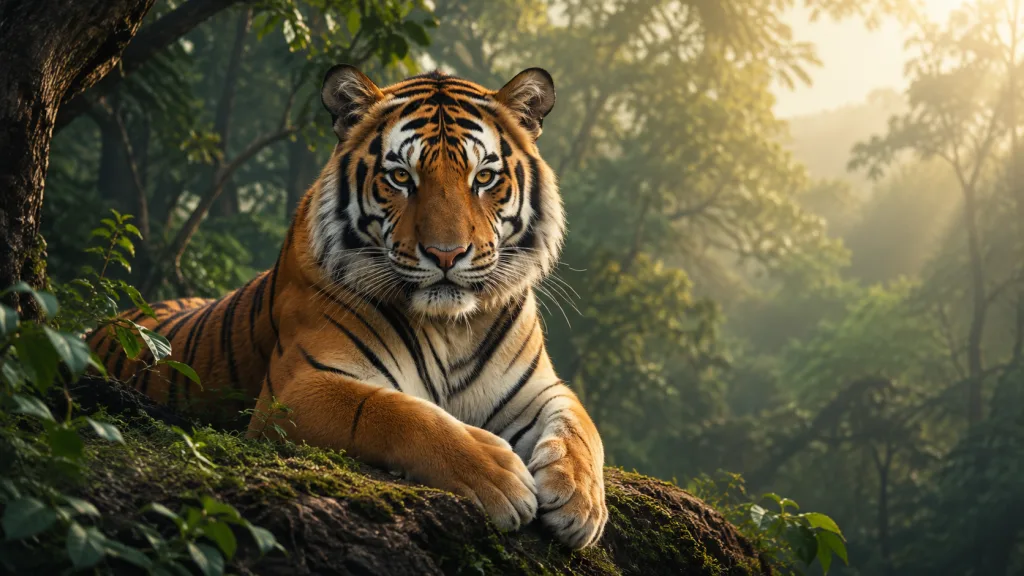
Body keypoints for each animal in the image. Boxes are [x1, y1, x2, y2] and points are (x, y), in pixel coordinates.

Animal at [89, 65, 607, 548]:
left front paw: (579, 500)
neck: (451, 327)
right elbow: (398, 413)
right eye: (400, 177)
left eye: (483, 177)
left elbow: (581, 427)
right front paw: (497, 474)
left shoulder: (536, 389)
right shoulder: (296, 389)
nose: (446, 255)